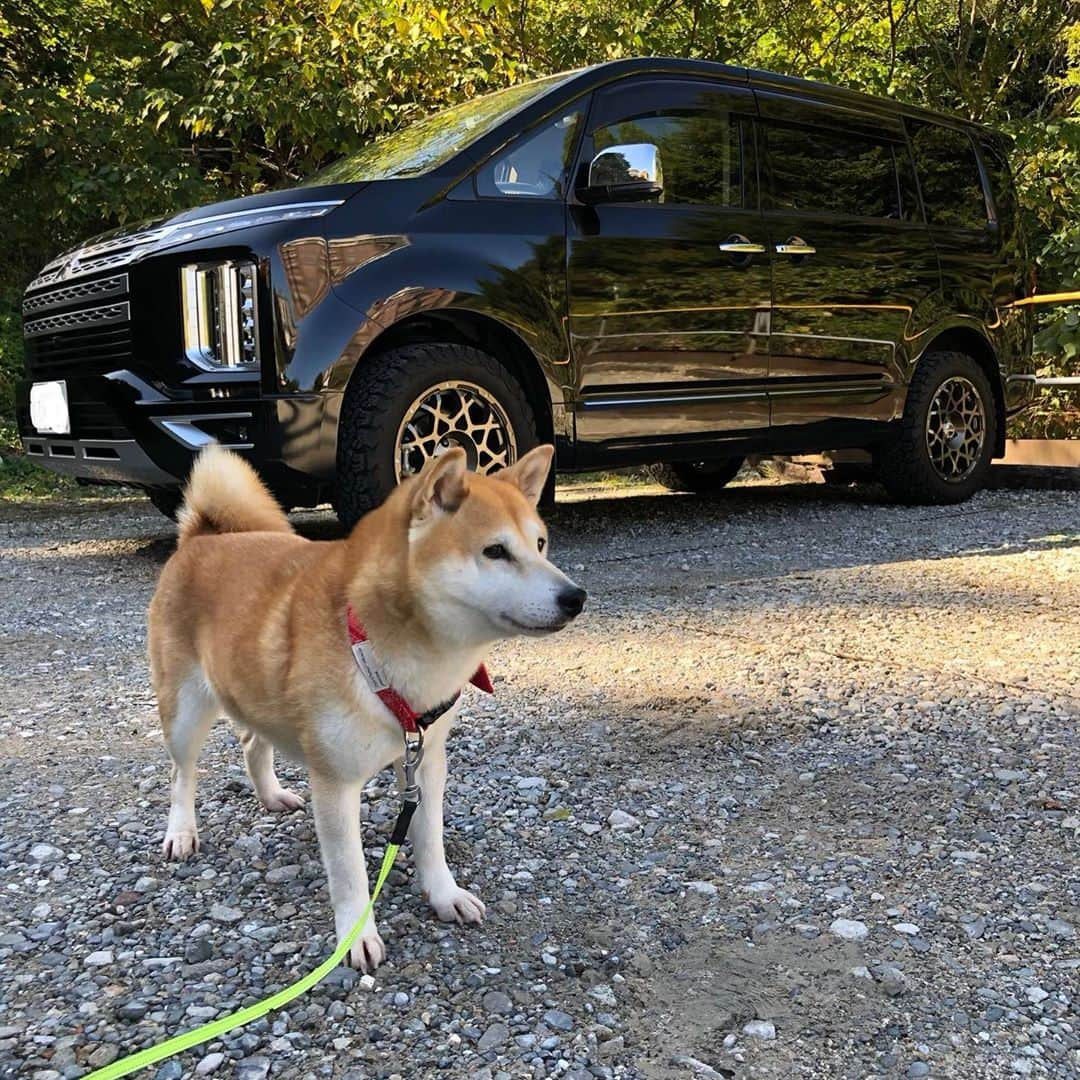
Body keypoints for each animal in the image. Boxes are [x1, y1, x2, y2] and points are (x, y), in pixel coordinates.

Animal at [149, 444, 587, 972]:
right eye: (495, 551)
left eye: (540, 544)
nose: (576, 597)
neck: (386, 653)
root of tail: (200, 537)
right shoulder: (335, 783)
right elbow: (350, 872)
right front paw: (356, 936)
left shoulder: (426, 760)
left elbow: (429, 840)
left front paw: (444, 895)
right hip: (185, 711)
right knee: (182, 775)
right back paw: (181, 831)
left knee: (252, 741)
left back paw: (271, 795)